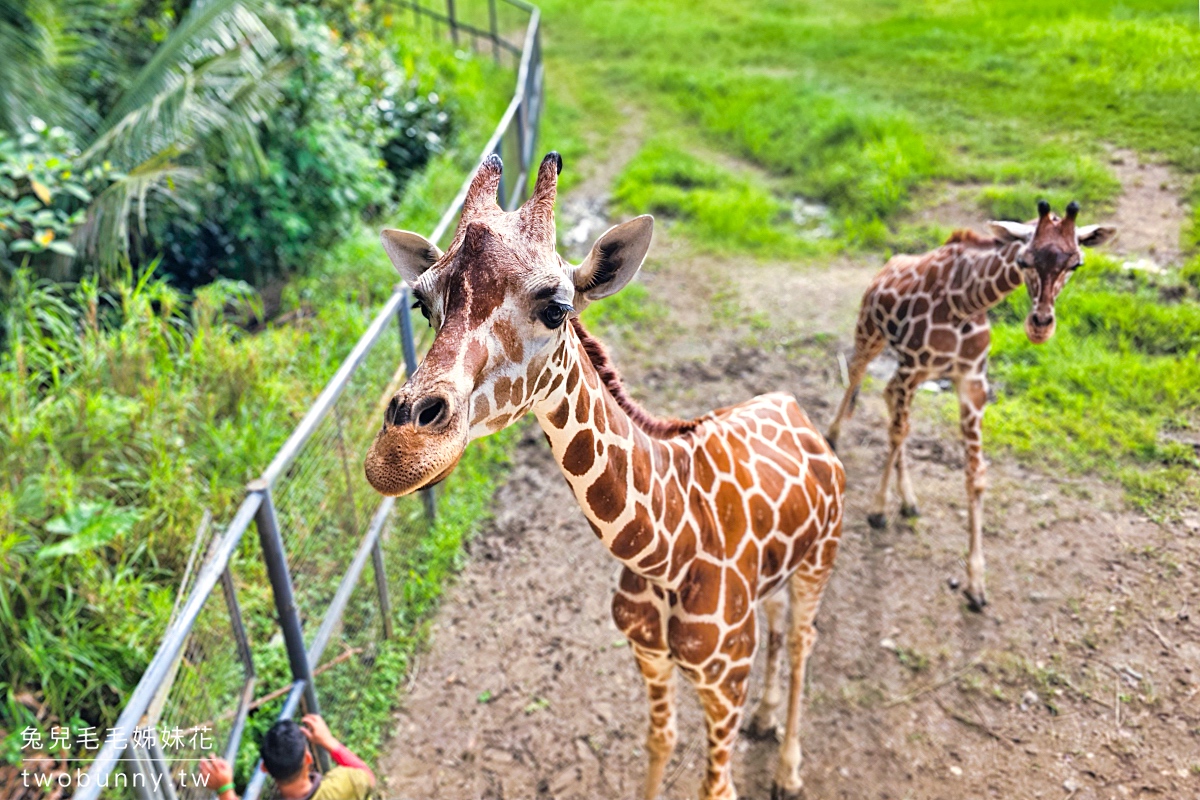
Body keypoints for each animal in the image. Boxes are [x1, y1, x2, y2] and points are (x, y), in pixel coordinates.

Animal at [364, 151, 844, 800]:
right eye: (422, 305)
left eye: (557, 307)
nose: (399, 452)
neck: (668, 553)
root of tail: (795, 408)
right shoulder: (649, 655)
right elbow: (659, 740)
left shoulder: (723, 679)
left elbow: (716, 785)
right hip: (778, 578)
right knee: (777, 625)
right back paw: (766, 719)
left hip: (819, 561)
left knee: (801, 640)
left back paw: (789, 766)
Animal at [825, 199, 1113, 606]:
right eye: (1024, 260)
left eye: (1075, 263)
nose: (1039, 326)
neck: (966, 301)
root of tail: (889, 262)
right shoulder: (914, 367)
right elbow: (897, 432)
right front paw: (878, 509)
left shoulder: (971, 383)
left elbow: (975, 475)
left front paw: (976, 583)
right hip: (871, 333)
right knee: (856, 374)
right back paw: (833, 436)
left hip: (913, 370)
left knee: (889, 397)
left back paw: (909, 500)